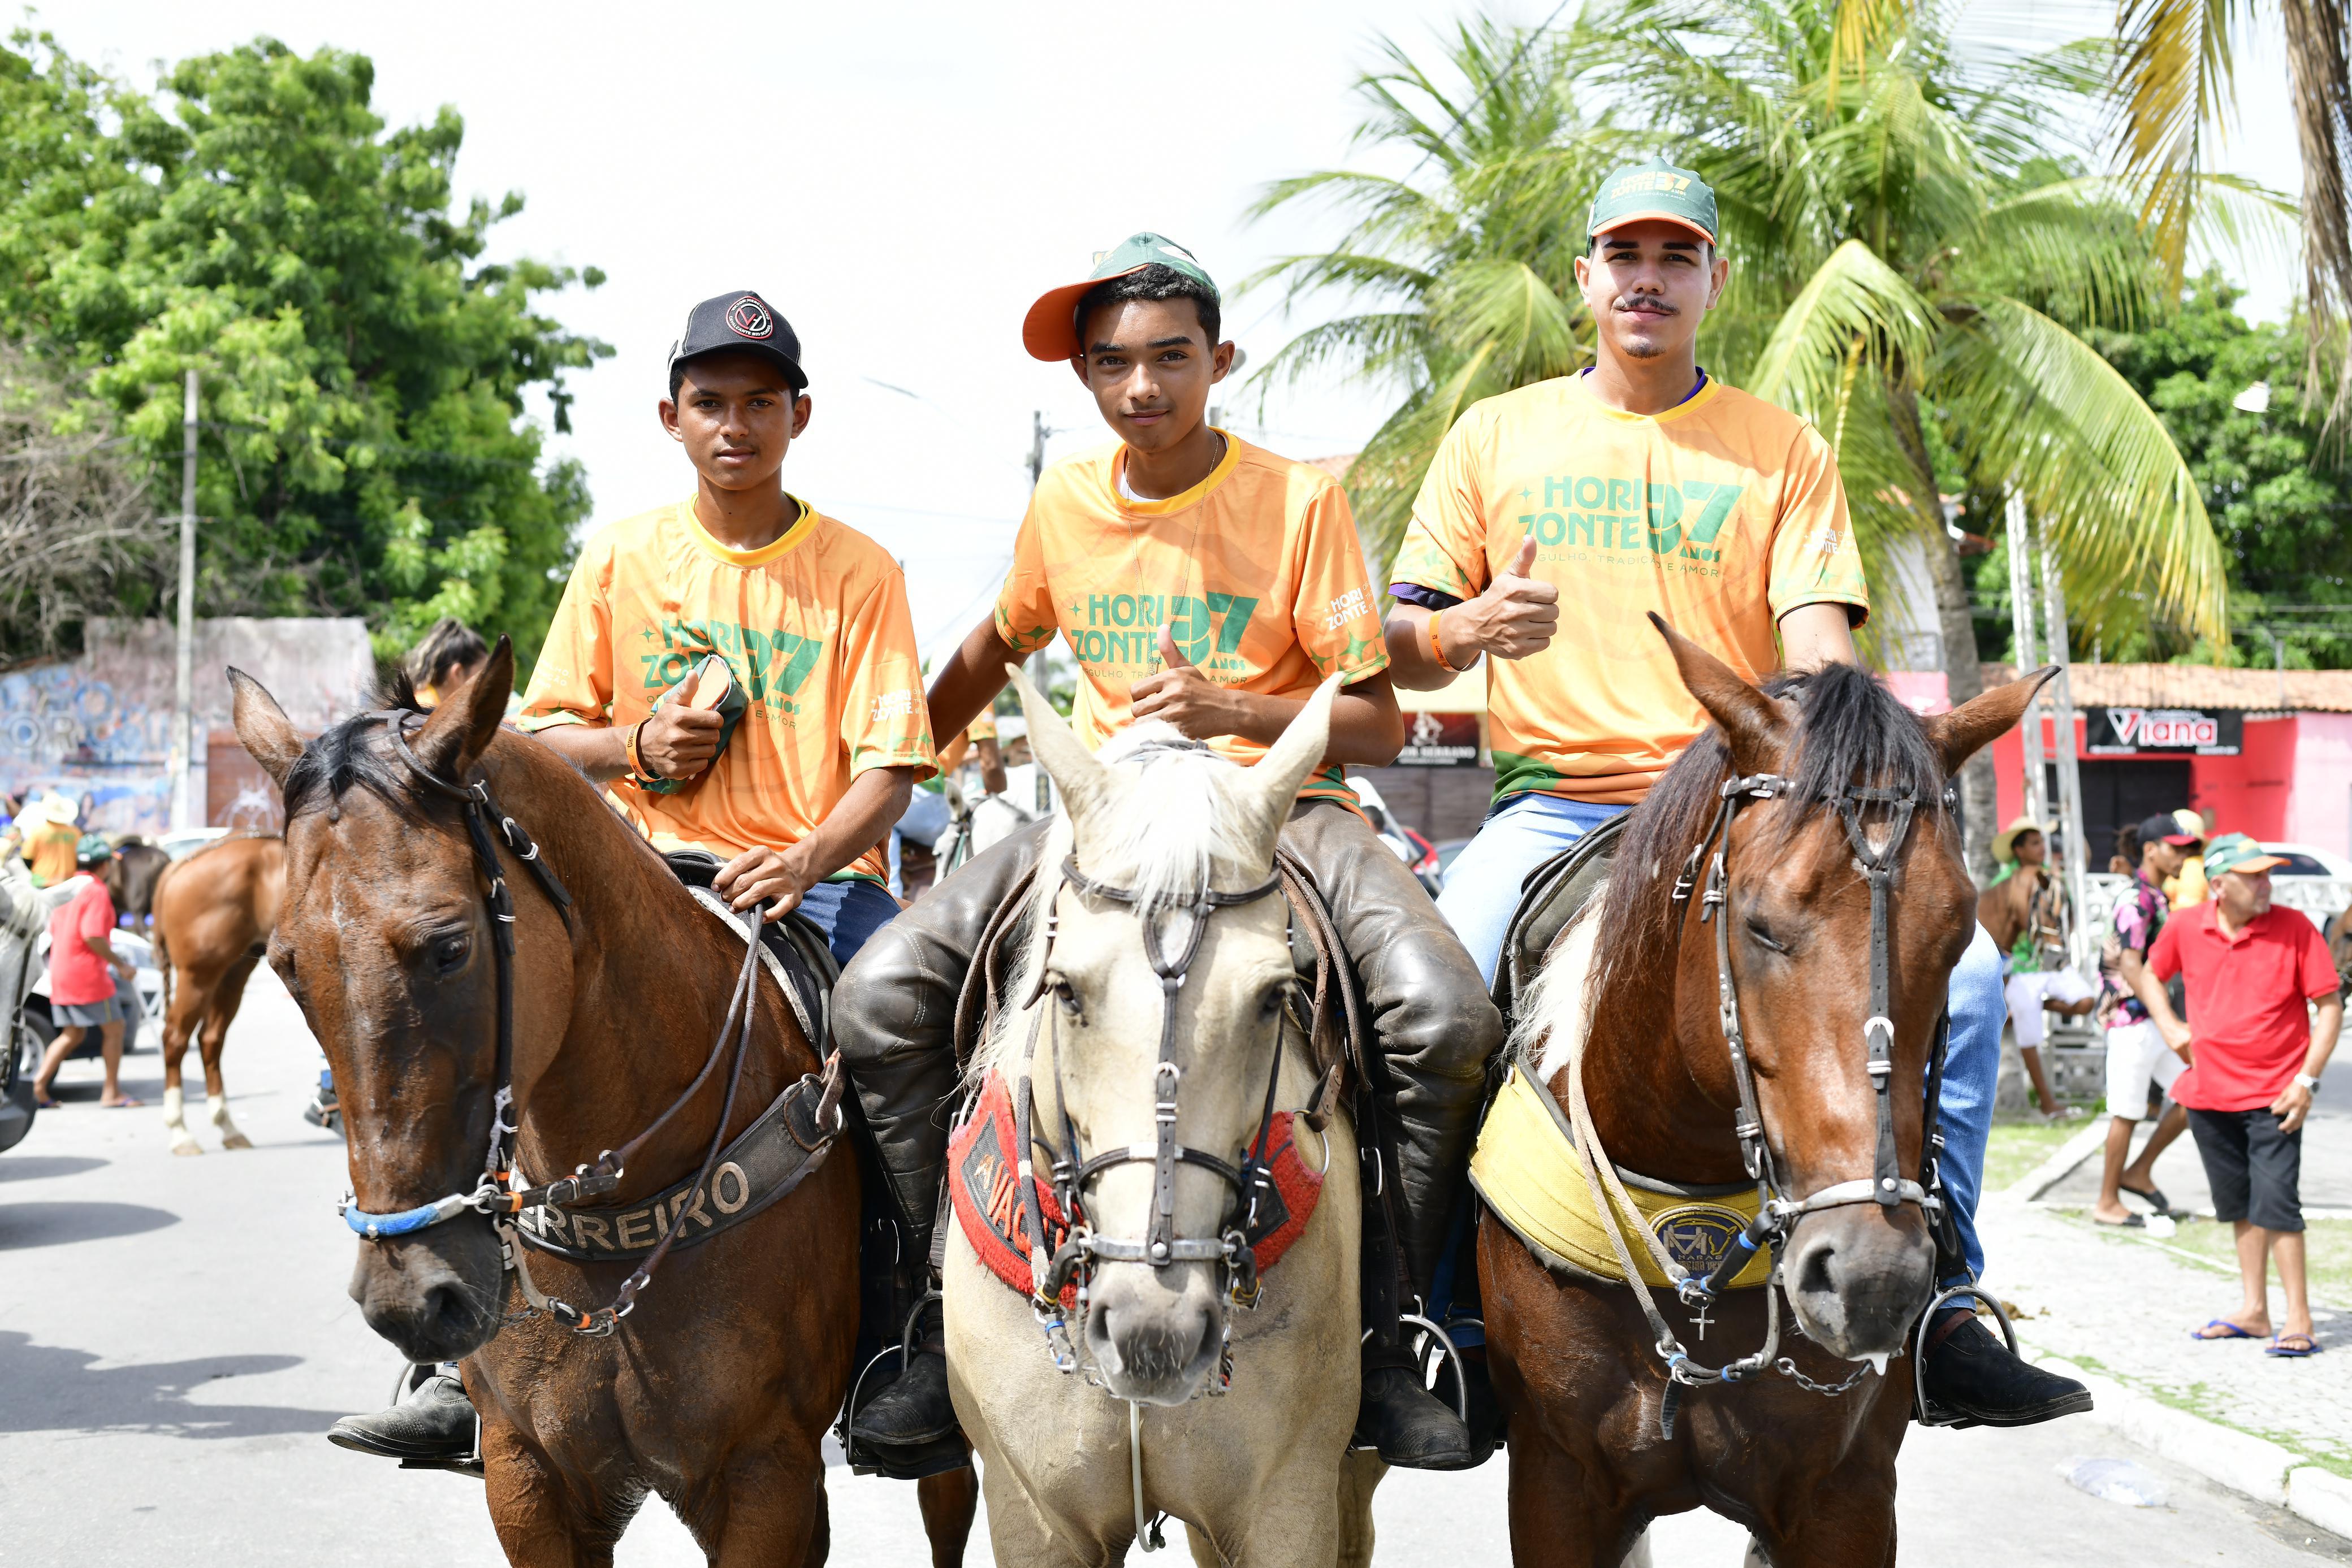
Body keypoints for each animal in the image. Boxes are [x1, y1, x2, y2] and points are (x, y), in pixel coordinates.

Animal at [151, 834, 284, 1155]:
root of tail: (183, 862)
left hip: (232, 973)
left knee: (210, 1039)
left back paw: (227, 1126)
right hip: (199, 975)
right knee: (175, 1039)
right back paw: (180, 1132)